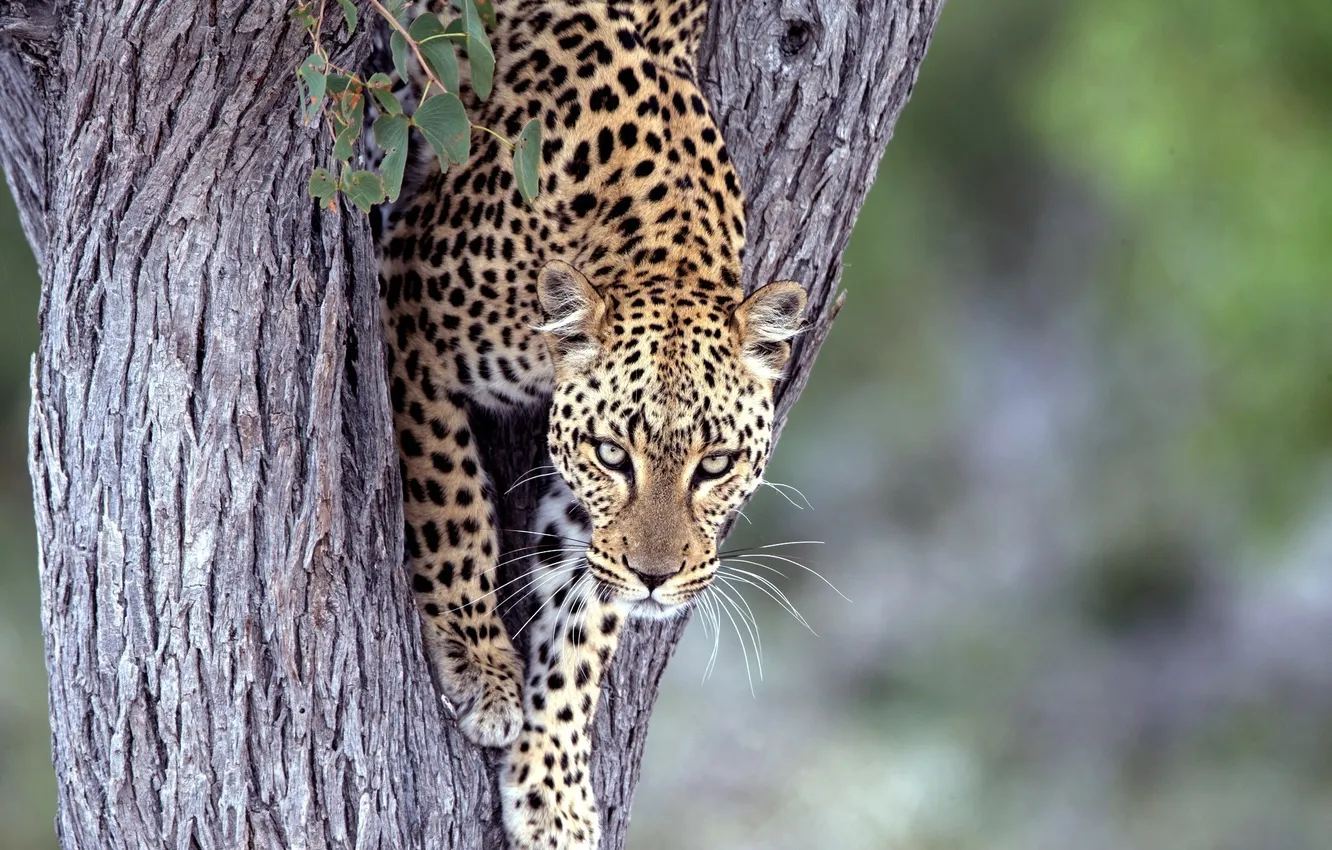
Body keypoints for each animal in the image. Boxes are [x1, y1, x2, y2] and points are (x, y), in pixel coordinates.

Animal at [376, 1, 807, 847]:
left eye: (714, 464)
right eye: (613, 455)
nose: (658, 578)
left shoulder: (590, 521)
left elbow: (584, 617)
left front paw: (554, 786)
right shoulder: (410, 307)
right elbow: (452, 501)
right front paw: (481, 664)